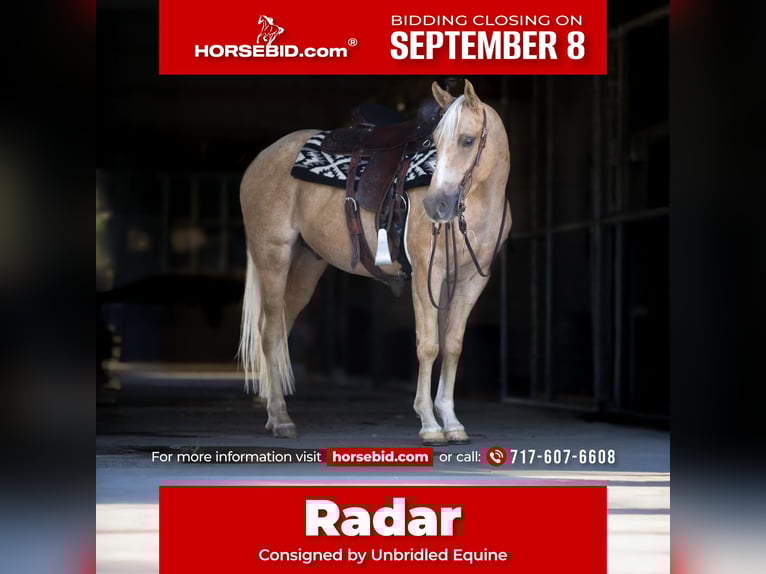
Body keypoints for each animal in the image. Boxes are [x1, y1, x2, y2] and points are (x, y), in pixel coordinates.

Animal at [238, 80, 511, 445]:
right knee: (268, 332)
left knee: (280, 328)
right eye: (435, 143)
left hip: (306, 265)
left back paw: (273, 412)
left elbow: (452, 346)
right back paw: (281, 419)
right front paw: (429, 424)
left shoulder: (471, 280)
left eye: (468, 140)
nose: (436, 205)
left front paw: (452, 423)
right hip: (273, 256)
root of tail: (260, 158)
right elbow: (428, 345)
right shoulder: (426, 273)